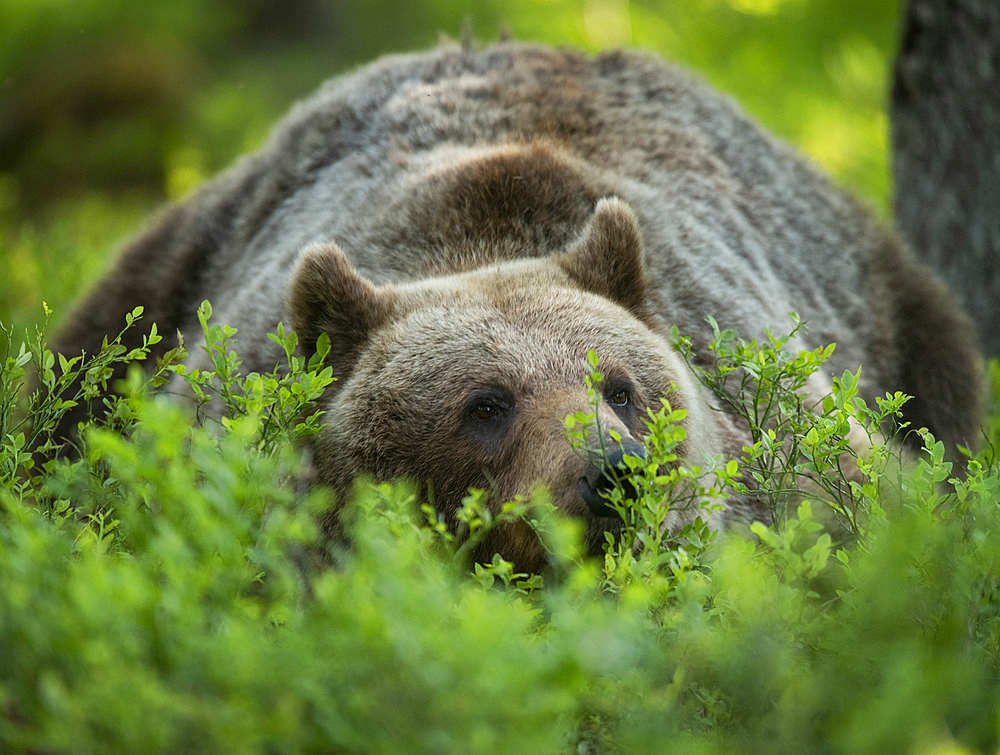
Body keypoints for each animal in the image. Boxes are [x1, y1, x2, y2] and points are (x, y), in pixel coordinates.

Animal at [50, 41, 980, 572]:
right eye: (486, 403)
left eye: (620, 387)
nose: (613, 473)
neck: (477, 240)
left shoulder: (778, 434)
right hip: (156, 285)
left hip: (898, 314)